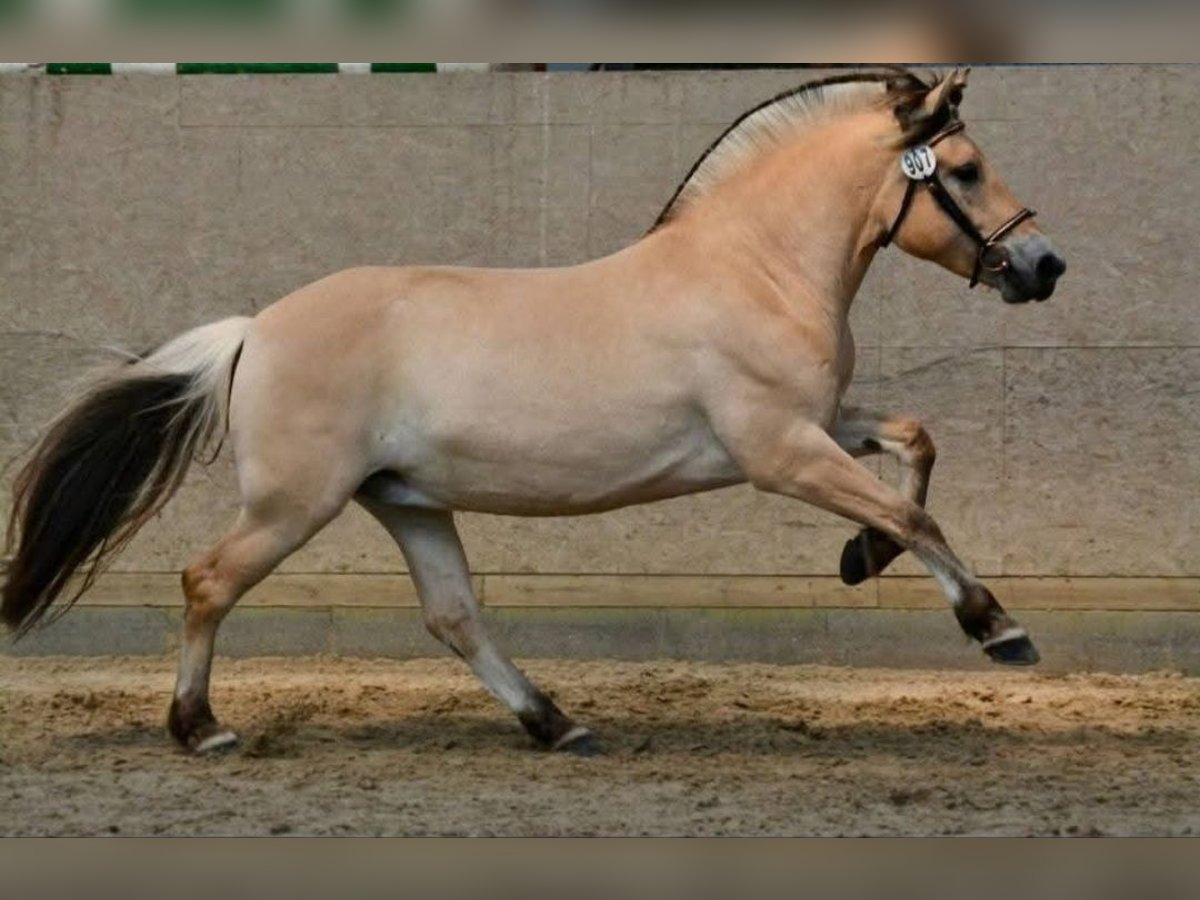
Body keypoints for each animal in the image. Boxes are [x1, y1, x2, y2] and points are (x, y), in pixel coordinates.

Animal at [2, 68, 1065, 755]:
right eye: (965, 169)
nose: (1043, 265)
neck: (752, 267)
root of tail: (255, 329)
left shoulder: (816, 423)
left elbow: (916, 446)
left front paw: (858, 560)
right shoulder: (779, 450)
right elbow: (916, 513)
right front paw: (998, 629)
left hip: (408, 500)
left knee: (454, 616)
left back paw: (556, 724)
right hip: (294, 505)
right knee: (207, 581)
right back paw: (203, 730)